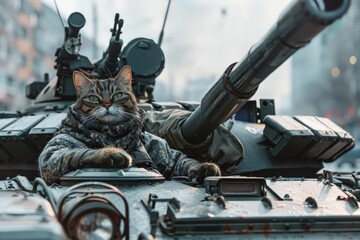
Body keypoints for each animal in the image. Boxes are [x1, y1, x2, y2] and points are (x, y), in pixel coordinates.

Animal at [38, 65, 221, 184]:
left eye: (118, 95)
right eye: (93, 98)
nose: (106, 105)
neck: (113, 133)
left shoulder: (162, 148)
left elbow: (182, 160)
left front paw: (204, 166)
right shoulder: (51, 158)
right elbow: (73, 153)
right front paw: (112, 153)